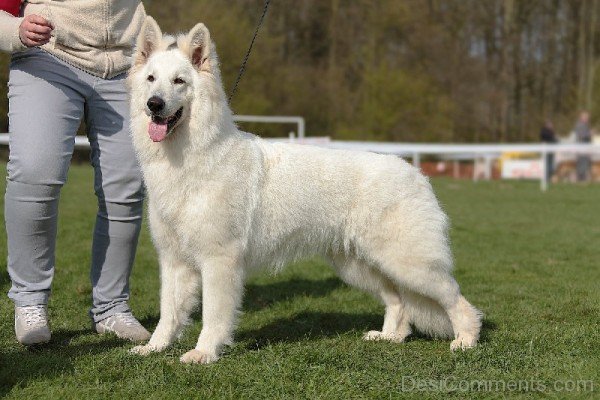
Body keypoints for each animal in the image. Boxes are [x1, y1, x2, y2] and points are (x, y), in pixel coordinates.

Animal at [127, 17, 482, 364]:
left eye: (179, 82)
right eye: (151, 78)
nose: (154, 104)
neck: (194, 155)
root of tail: (416, 173)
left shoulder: (219, 261)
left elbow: (214, 315)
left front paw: (203, 352)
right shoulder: (174, 262)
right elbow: (169, 313)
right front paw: (155, 348)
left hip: (409, 264)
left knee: (456, 299)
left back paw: (466, 340)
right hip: (360, 266)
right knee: (398, 301)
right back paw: (389, 337)